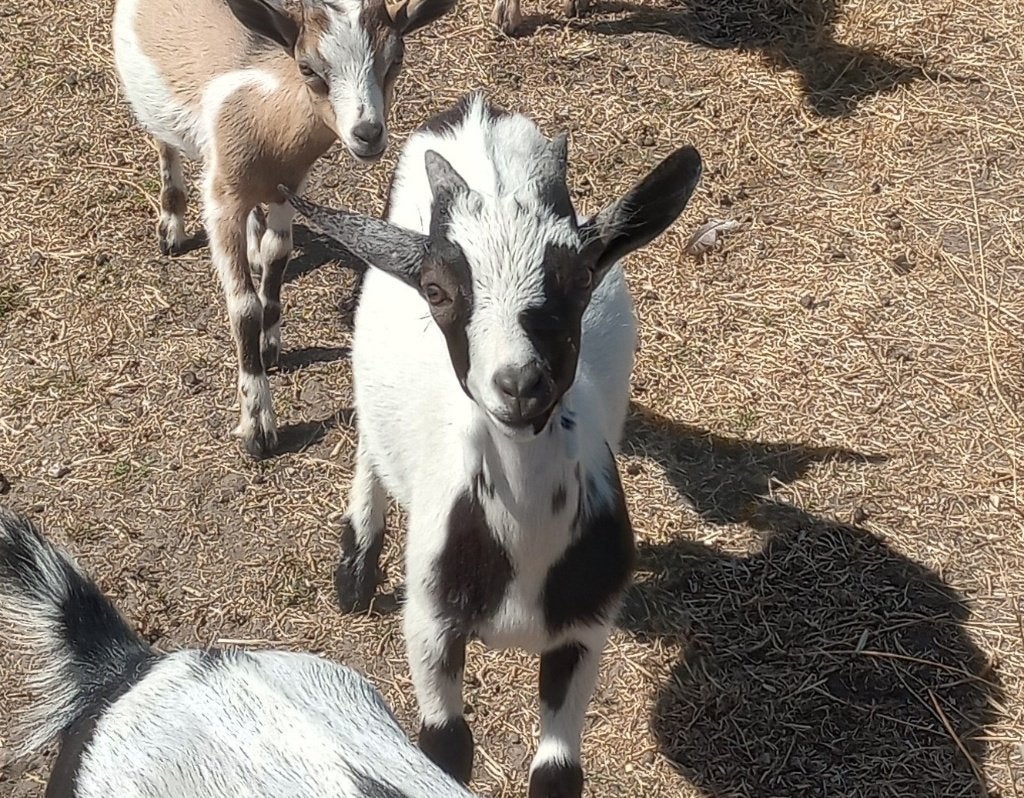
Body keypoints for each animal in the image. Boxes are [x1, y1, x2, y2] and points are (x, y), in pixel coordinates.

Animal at [111, 0, 454, 458]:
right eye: (308, 67)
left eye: (395, 57)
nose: (367, 133)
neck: (267, 116)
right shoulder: (221, 200)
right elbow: (243, 307)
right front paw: (258, 426)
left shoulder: (287, 190)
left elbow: (278, 256)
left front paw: (270, 343)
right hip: (152, 106)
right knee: (165, 143)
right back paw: (171, 227)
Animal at [283, 92, 702, 797]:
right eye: (436, 290)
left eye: (582, 279)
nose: (520, 384)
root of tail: (475, 112)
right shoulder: (429, 625)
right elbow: (445, 749)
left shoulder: (584, 633)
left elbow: (558, 773)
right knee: (369, 432)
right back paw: (356, 567)